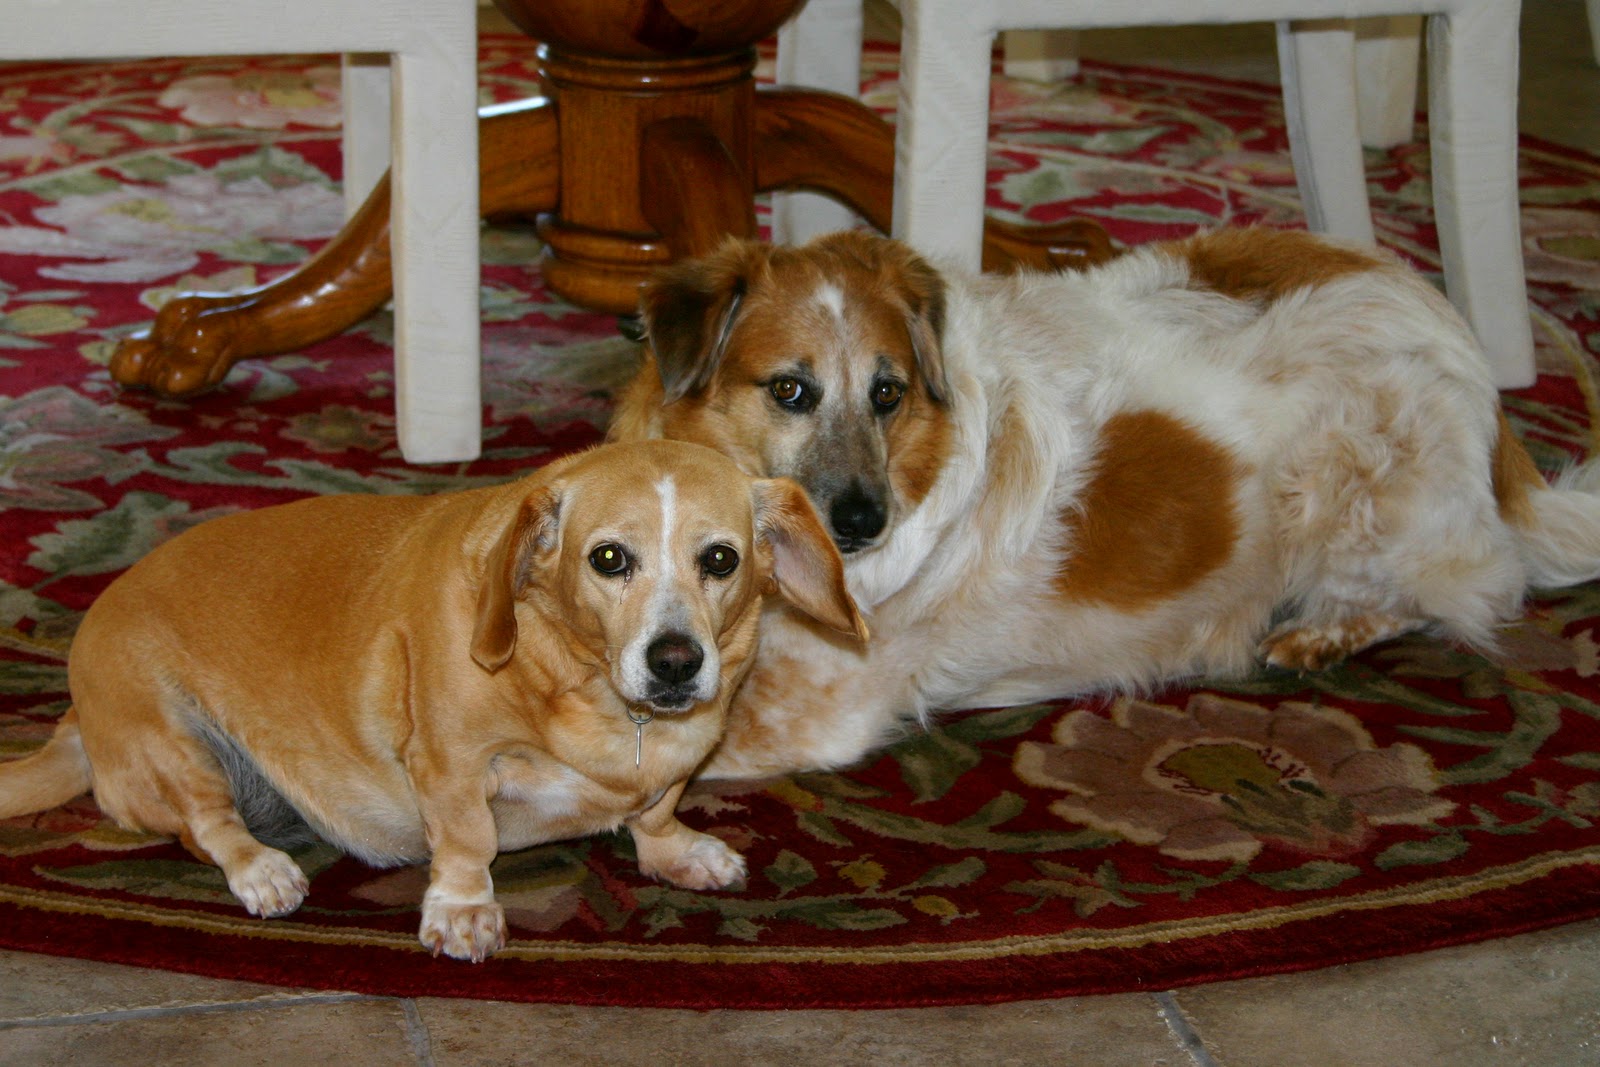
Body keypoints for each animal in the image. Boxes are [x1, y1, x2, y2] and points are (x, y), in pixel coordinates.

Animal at [0, 439, 865, 961]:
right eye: (609, 558)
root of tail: (77, 717)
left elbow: (655, 812)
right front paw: (462, 908)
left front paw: (677, 849)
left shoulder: (674, 765)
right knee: (210, 827)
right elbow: (466, 839)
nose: (677, 662)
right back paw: (263, 870)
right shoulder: (450, 763)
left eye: (720, 558)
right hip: (176, 739)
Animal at [609, 228, 1600, 779]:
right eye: (790, 390)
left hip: (1361, 500)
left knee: (1466, 588)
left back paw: (1316, 632)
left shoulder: (807, 711)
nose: (862, 522)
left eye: (888, 394)